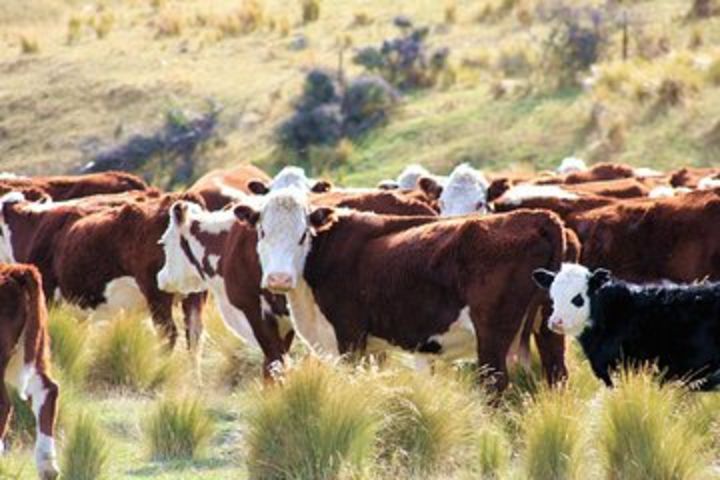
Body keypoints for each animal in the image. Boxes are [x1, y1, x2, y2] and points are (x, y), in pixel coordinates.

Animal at [231, 188, 568, 390]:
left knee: (495, 384)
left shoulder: (349, 337)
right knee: (557, 374)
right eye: (262, 232)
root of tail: (540, 217)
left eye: (303, 234)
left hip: (493, 336)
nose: (279, 278)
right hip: (550, 327)